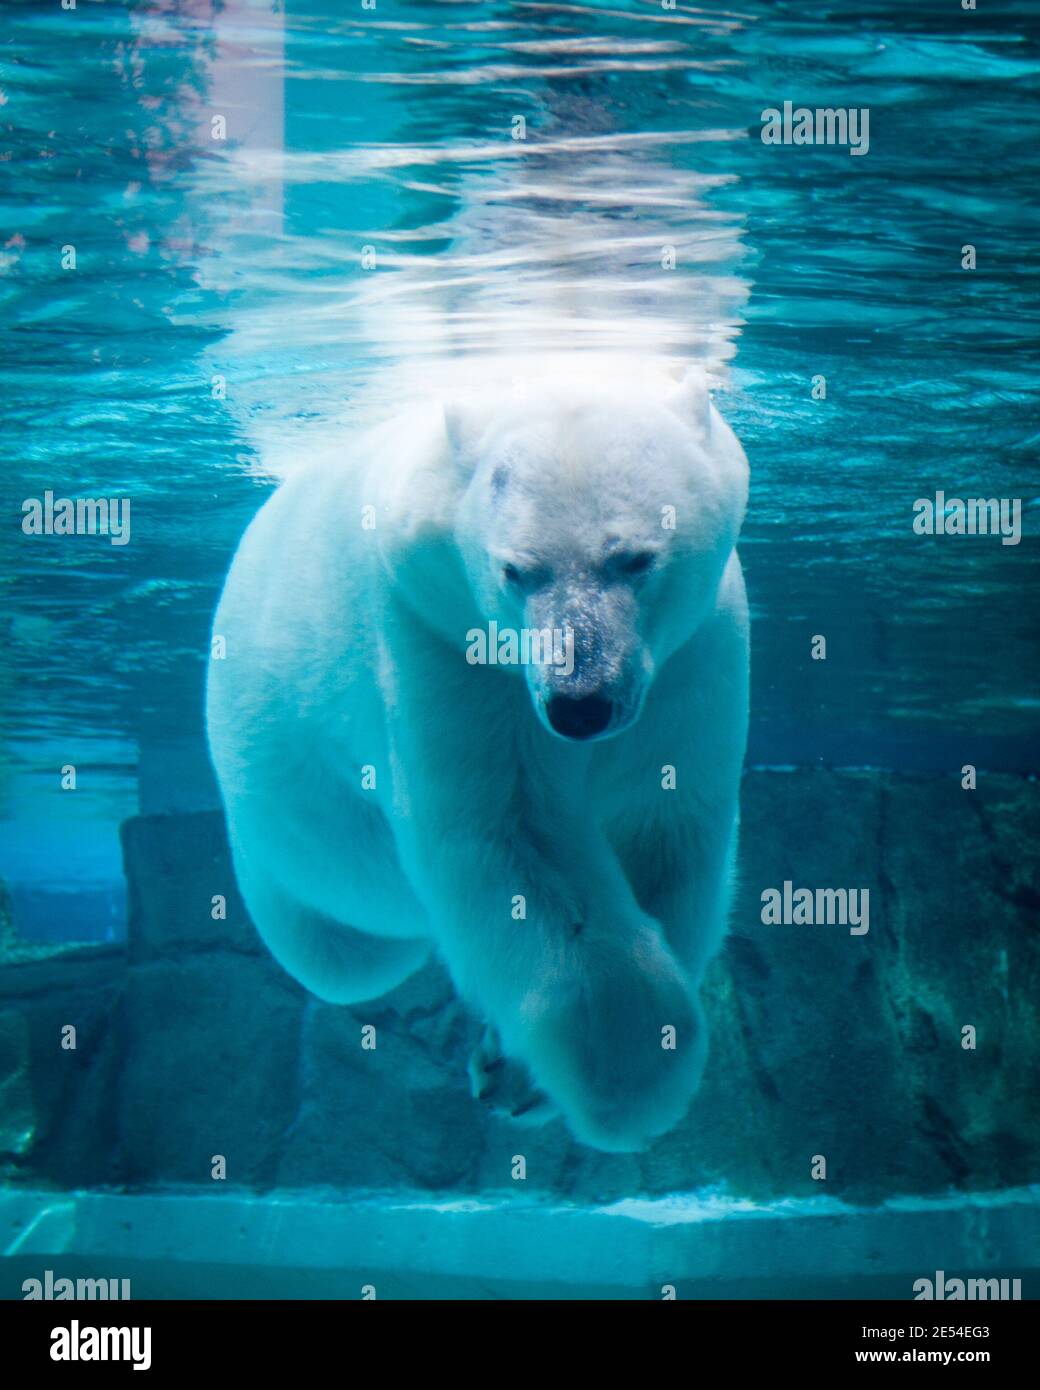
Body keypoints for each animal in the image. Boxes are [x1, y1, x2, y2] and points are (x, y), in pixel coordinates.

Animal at [205, 358, 745, 1150]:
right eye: (517, 570)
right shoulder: (436, 635)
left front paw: (516, 1075)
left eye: (635, 559)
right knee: (346, 952)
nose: (578, 704)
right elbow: (506, 841)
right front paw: (631, 1074)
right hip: (281, 805)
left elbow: (662, 828)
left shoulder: (696, 656)